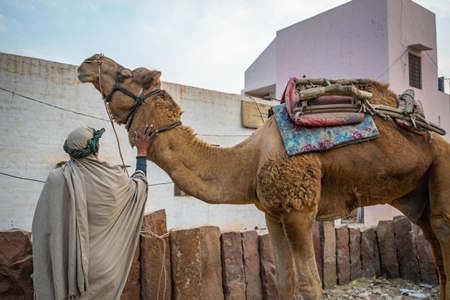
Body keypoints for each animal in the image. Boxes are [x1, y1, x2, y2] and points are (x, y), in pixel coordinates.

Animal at [79, 54, 450, 300]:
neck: (249, 159)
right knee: (434, 247)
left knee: (442, 230)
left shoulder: (299, 207)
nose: (88, 61)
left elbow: (310, 284)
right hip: (418, 193)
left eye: (128, 73)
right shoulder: (273, 212)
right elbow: (284, 281)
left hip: (442, 165)